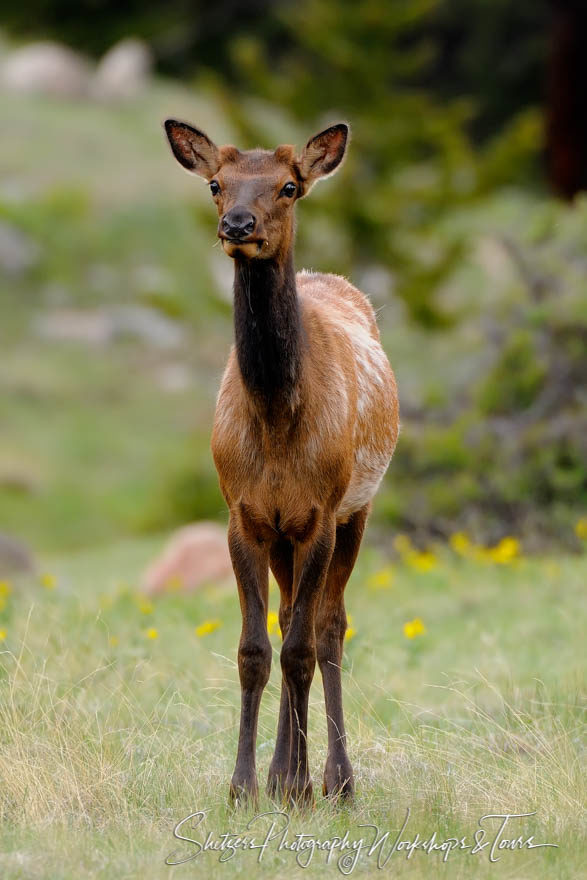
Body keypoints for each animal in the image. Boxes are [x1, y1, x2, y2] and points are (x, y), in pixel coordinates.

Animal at [164, 117, 400, 804]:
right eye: (216, 183)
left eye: (289, 186)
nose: (238, 224)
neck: (273, 423)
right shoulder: (244, 515)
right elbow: (253, 650)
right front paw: (246, 784)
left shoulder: (320, 512)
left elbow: (299, 648)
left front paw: (293, 784)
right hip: (282, 535)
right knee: (294, 613)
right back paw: (288, 772)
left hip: (356, 510)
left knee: (327, 629)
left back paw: (333, 781)